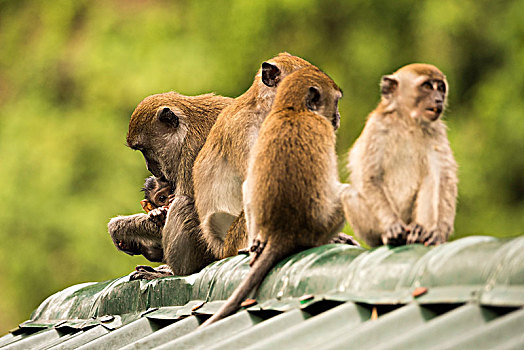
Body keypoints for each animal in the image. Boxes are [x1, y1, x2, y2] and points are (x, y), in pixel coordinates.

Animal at [109, 91, 232, 278]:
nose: (149, 167)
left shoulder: (192, 153)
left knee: (183, 204)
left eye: (144, 149)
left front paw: (120, 227)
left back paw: (179, 272)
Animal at [203, 65, 346, 326]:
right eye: (336, 102)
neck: (293, 110)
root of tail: (283, 231)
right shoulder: (244, 127)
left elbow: (249, 184)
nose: (338, 117)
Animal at [342, 64, 456, 247]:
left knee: (432, 178)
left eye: (441, 88)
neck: (407, 122)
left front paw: (439, 232)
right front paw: (392, 225)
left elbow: (446, 179)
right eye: (427, 86)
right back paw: (389, 237)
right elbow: (370, 177)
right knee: (349, 195)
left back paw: (419, 231)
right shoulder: (376, 127)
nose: (439, 99)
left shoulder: (437, 131)